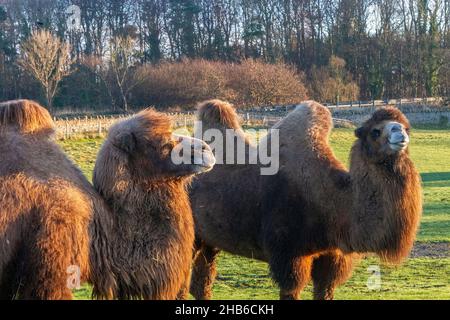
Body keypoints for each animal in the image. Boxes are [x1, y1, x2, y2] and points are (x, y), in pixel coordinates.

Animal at [189, 100, 422, 300]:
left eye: (406, 127)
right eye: (375, 131)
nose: (399, 132)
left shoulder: (332, 256)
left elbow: (325, 290)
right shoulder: (289, 253)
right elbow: (291, 290)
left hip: (209, 239)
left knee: (201, 283)